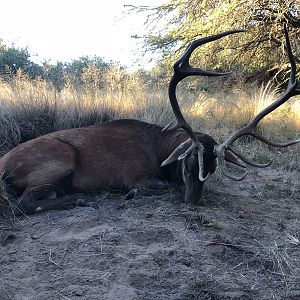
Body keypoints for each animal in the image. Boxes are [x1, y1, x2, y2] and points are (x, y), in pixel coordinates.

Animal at [0, 25, 298, 213]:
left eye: (212, 169)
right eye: (187, 165)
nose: (192, 201)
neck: (159, 151)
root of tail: (3, 165)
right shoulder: (134, 175)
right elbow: (156, 186)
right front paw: (132, 194)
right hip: (59, 159)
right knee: (23, 203)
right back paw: (84, 199)